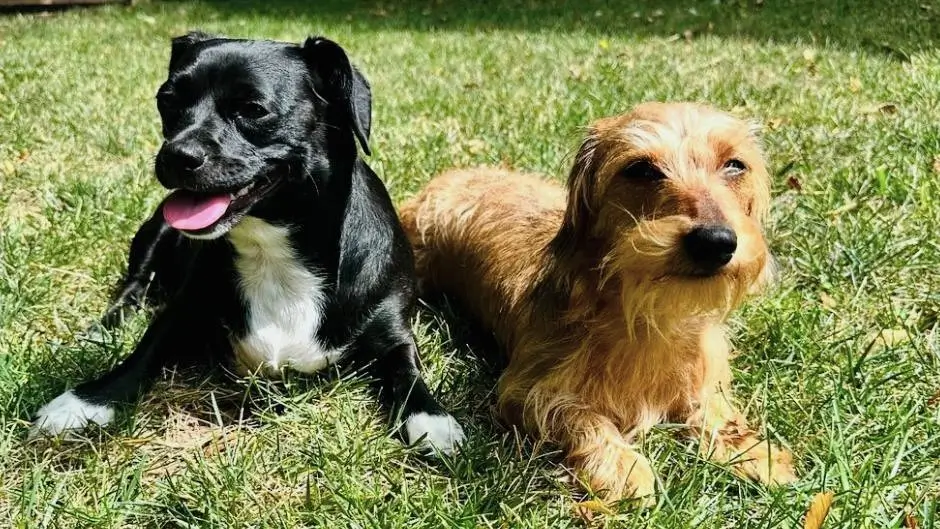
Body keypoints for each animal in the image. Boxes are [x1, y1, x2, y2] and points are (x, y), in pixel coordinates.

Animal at [27, 33, 468, 456]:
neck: (271, 250)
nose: (175, 155)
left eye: (253, 110)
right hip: (154, 234)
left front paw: (432, 417)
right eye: (167, 101)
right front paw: (87, 400)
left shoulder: (393, 329)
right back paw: (103, 329)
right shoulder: (181, 312)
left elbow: (407, 370)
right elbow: (143, 353)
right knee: (134, 286)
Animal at [392, 102, 796, 504]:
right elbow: (578, 415)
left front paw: (751, 450)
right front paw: (622, 466)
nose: (714, 241)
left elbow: (711, 407)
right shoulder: (525, 390)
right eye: (641, 169)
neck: (647, 312)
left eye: (735, 165)